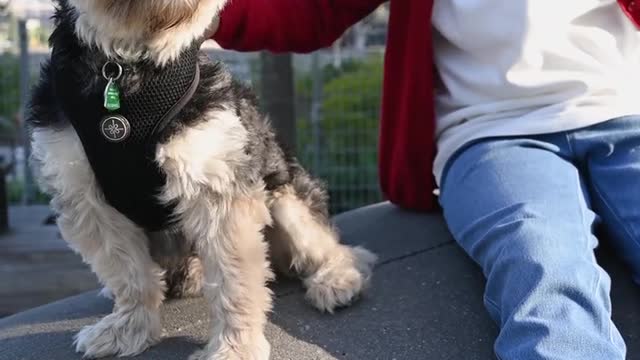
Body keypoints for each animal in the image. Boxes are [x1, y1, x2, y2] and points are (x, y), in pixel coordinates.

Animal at [28, 1, 376, 358]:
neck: (127, 66)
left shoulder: (216, 184)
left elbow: (234, 277)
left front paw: (236, 347)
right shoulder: (83, 195)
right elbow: (127, 272)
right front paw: (129, 328)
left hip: (286, 198)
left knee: (337, 247)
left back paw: (337, 280)